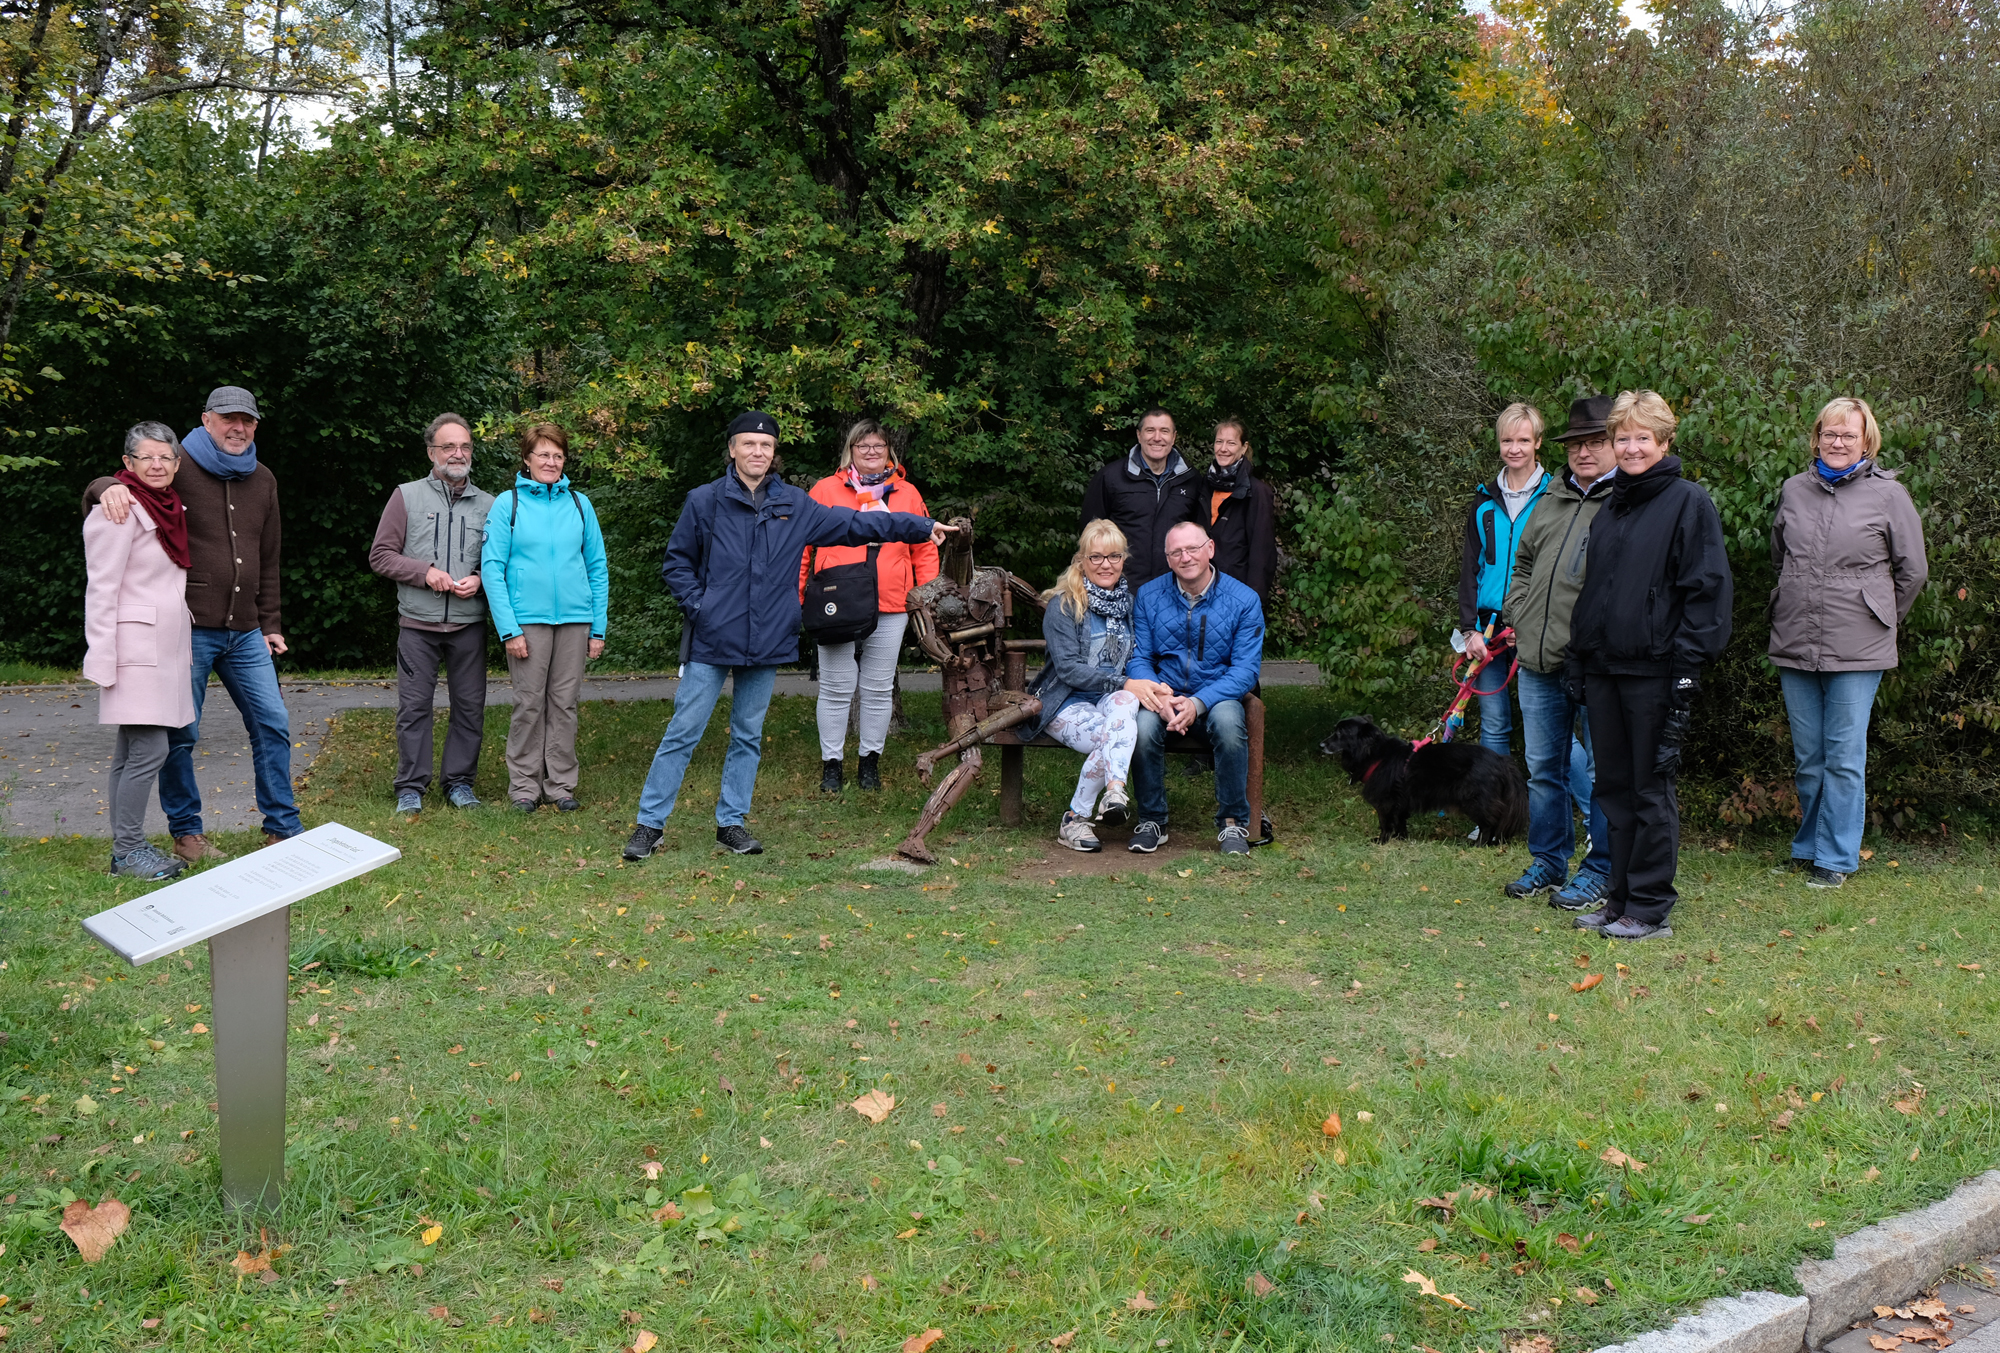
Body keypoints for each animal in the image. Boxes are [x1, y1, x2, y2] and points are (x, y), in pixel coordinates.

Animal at [1320, 720, 1520, 844]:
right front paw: (1401, 839)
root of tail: (1500, 760)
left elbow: (1385, 823)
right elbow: (1400, 822)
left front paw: (1382, 841)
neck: (1377, 755)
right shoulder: (1400, 802)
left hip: (1475, 800)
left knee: (1488, 824)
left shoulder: (1385, 802)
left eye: (1340, 732)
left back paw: (1479, 844)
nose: (1321, 745)